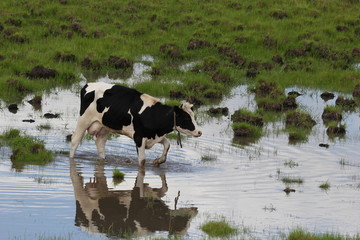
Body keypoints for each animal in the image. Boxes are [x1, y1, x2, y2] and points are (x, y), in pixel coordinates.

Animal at [69, 82, 201, 165]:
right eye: (186, 118)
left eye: (194, 117)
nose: (199, 132)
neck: (153, 114)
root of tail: (88, 84)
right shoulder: (139, 137)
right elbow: (142, 161)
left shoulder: (154, 135)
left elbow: (167, 144)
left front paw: (158, 161)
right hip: (84, 120)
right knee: (75, 140)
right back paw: (71, 159)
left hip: (104, 125)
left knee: (100, 144)